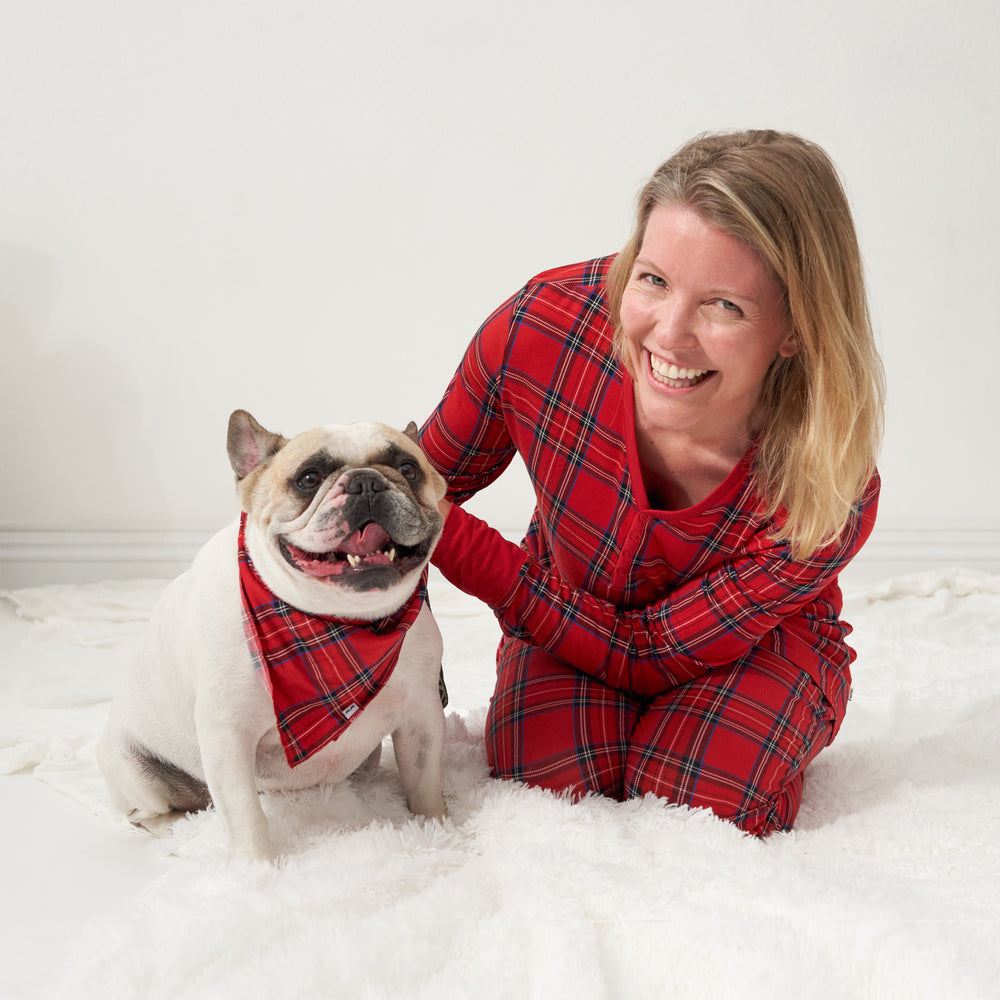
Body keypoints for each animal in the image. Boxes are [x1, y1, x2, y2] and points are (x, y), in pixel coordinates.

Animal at [97, 410, 450, 864]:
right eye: (308, 478)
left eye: (408, 468)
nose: (366, 482)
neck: (337, 622)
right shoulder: (227, 734)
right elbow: (245, 811)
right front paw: (257, 868)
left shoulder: (422, 717)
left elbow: (425, 783)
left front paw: (439, 828)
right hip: (136, 770)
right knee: (151, 813)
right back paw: (181, 831)